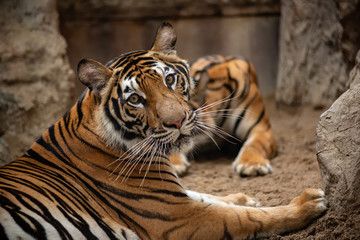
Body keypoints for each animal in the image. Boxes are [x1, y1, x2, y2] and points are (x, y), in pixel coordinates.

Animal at [0, 23, 326, 240]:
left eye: (170, 79)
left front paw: (243, 197)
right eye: (135, 99)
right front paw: (307, 203)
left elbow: (206, 195)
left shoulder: (176, 197)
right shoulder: (179, 218)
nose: (178, 121)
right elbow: (247, 219)